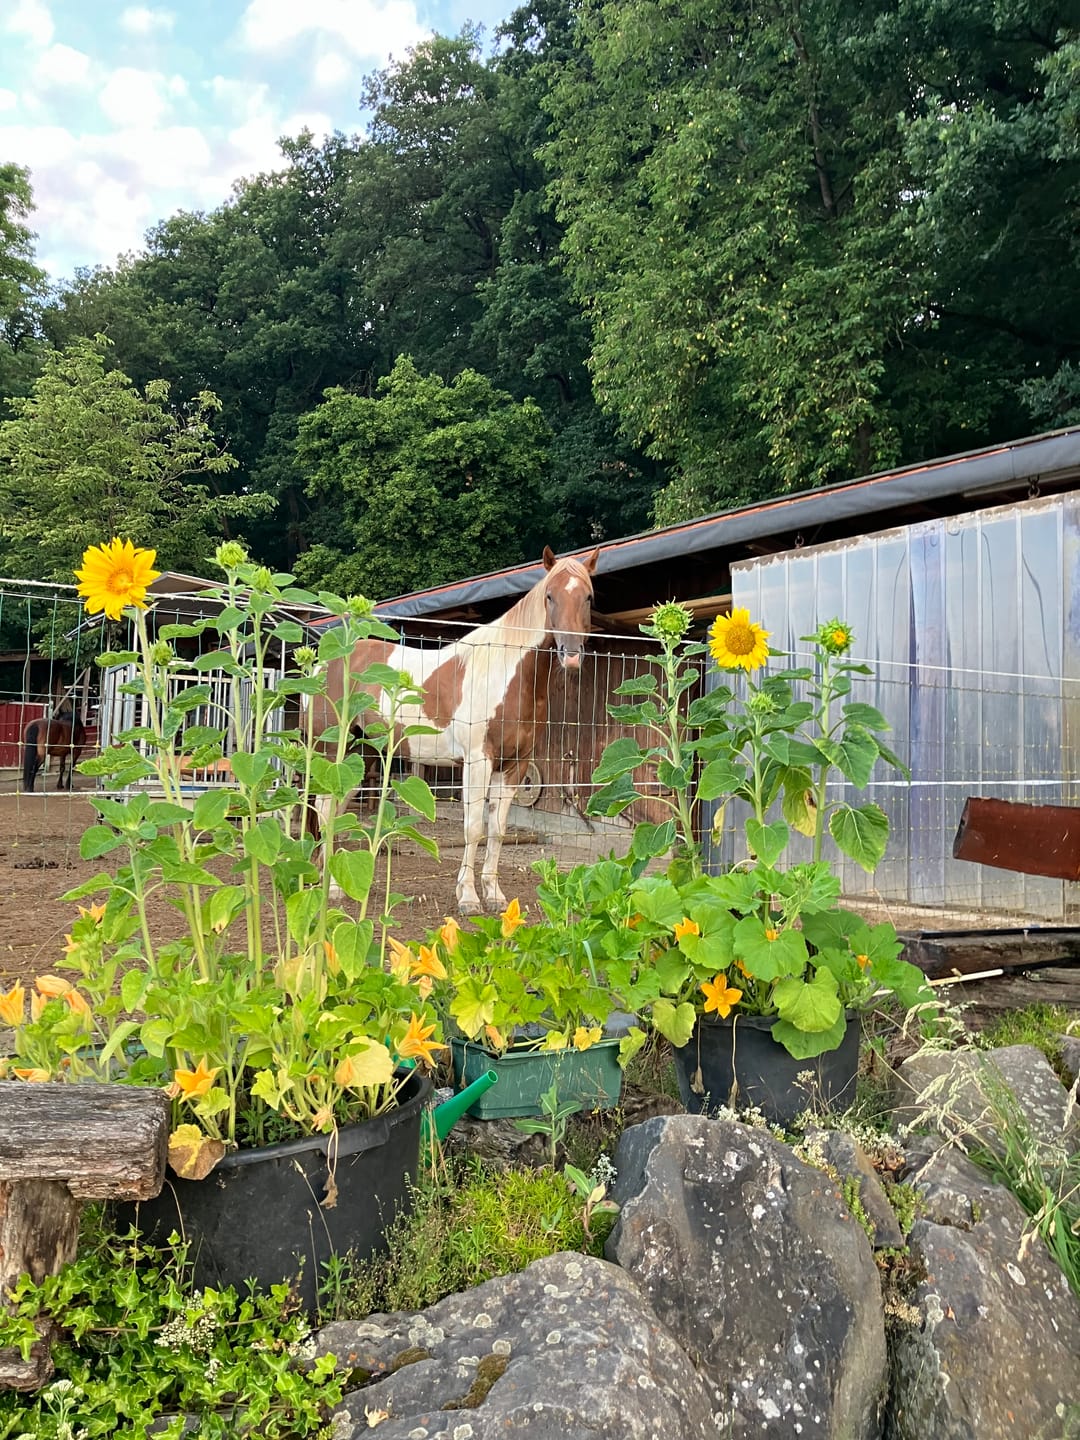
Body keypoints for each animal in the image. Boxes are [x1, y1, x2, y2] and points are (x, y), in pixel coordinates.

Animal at [312, 545, 600, 913]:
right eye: (550, 596)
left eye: (588, 597)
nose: (571, 656)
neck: (504, 675)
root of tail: (325, 663)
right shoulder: (477, 762)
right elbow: (474, 828)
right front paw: (468, 898)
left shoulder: (514, 766)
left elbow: (498, 830)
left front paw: (494, 895)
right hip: (334, 754)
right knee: (325, 811)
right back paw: (332, 888)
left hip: (360, 759)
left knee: (335, 811)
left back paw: (332, 884)